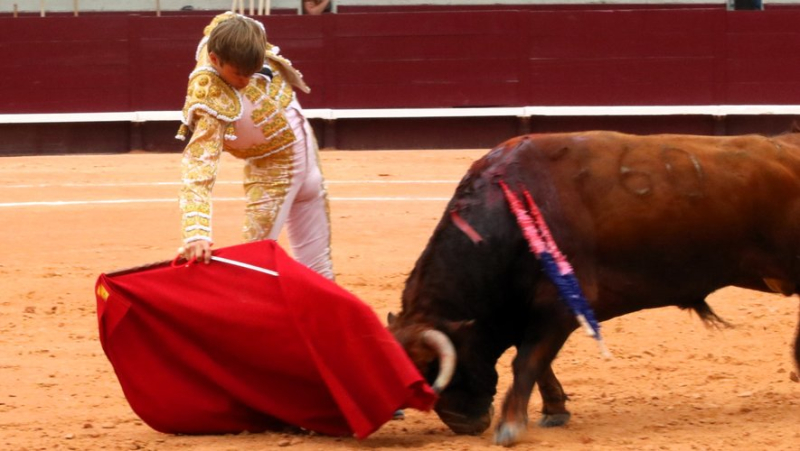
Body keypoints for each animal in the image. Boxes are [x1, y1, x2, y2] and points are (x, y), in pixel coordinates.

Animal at [388, 132, 800, 448]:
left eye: (431, 368)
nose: (463, 423)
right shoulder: (535, 311)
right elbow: (539, 362)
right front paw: (555, 411)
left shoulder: (559, 305)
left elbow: (527, 360)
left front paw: (510, 426)